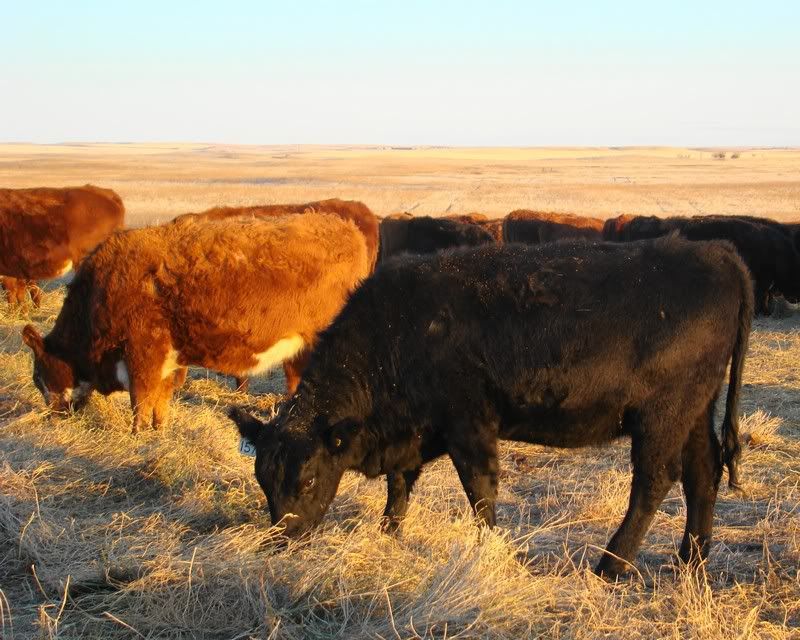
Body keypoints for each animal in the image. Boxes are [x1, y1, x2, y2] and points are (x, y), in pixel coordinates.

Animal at [22, 213, 369, 433]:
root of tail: (346, 228)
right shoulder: (166, 358)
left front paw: (137, 435)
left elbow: (140, 400)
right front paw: (158, 432)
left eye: (39, 377)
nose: (53, 416)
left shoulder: (143, 353)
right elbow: (159, 399)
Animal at [228, 236, 752, 579]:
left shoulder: (470, 424)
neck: (401, 329)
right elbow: (400, 485)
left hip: (663, 413)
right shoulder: (414, 432)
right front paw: (389, 534)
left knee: (654, 481)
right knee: (702, 473)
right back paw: (692, 562)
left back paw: (611, 565)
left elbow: (480, 492)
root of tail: (717, 252)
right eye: (263, 480)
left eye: (308, 480)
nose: (280, 542)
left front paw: (489, 549)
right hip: (696, 410)